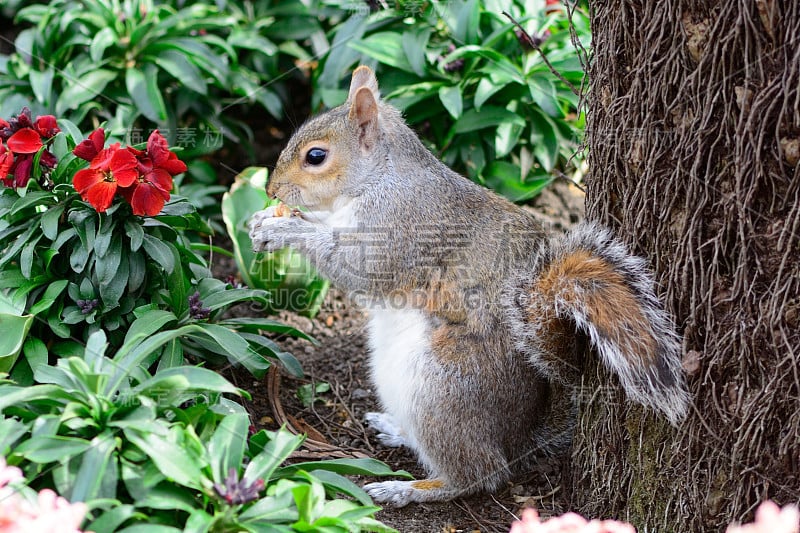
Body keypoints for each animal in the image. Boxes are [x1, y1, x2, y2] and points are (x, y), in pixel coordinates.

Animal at [247, 64, 692, 504]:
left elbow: (358, 269)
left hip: (441, 388)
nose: (270, 189)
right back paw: (396, 431)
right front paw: (265, 218)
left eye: (316, 156)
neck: (377, 180)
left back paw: (408, 488)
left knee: (479, 474)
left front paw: (286, 229)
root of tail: (520, 437)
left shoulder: (402, 229)